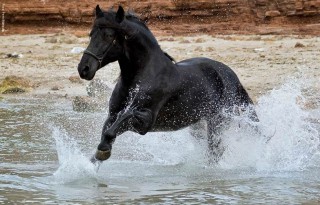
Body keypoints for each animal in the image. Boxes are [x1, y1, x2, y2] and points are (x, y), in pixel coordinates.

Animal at [79, 5, 258, 163]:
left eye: (108, 36)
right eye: (91, 34)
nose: (84, 69)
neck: (142, 75)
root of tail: (231, 75)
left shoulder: (145, 122)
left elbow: (120, 122)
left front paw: (103, 151)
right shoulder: (112, 115)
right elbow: (108, 133)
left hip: (218, 121)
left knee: (215, 152)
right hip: (198, 123)